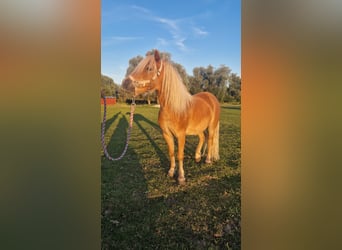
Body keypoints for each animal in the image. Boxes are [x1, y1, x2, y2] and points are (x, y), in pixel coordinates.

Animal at [125, 49, 219, 185]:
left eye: (149, 68)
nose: (125, 83)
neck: (172, 108)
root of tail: (211, 97)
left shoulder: (180, 135)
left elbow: (180, 155)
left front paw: (181, 177)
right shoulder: (167, 134)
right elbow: (171, 153)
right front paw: (171, 172)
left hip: (211, 126)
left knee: (210, 140)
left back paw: (207, 159)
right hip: (198, 128)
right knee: (203, 137)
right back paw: (197, 156)